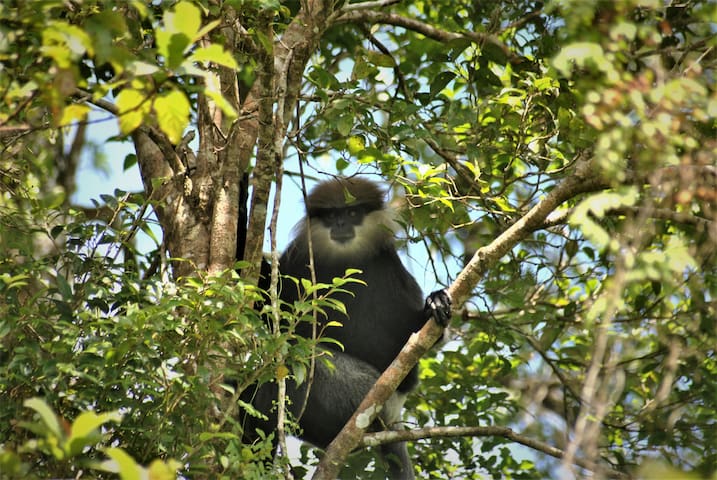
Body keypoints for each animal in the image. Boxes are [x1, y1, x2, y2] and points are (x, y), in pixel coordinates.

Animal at [243, 176, 450, 480]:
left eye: (352, 212)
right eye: (331, 216)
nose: (340, 224)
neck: (347, 260)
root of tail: (393, 418)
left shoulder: (390, 268)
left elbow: (410, 351)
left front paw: (435, 303)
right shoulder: (301, 259)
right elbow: (270, 306)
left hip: (368, 397)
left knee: (298, 362)